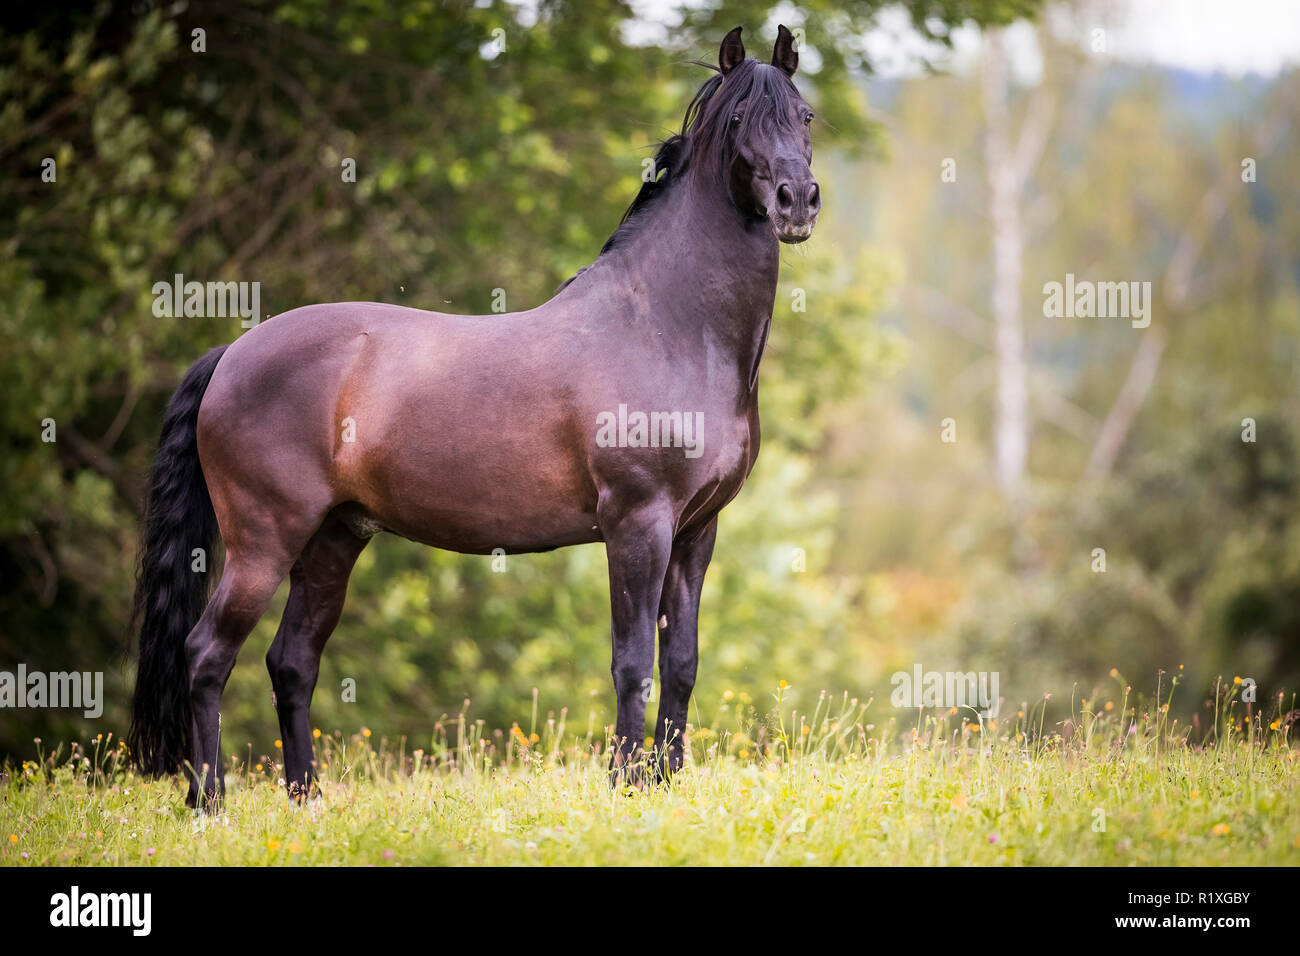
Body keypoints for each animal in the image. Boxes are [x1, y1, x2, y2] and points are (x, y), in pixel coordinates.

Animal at [127, 25, 820, 807]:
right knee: (208, 654)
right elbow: (632, 663)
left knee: (292, 660)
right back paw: (208, 802)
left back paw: (306, 799)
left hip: (334, 537)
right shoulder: (637, 525)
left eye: (805, 116)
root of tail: (233, 353)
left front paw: (664, 785)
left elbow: (681, 661)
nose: (797, 201)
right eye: (740, 122)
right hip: (263, 542)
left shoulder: (697, 531)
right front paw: (626, 785)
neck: (669, 325)